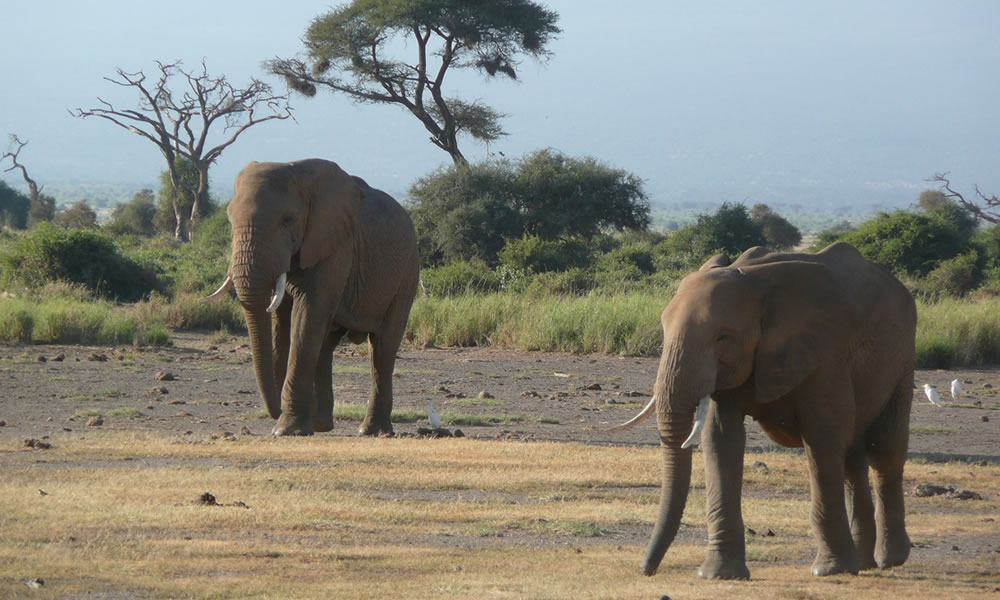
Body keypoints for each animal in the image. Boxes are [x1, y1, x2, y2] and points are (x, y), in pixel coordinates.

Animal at [205, 158, 420, 436]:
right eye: (230, 220)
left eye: (287, 220)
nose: (275, 411)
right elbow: (282, 319)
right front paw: (290, 425)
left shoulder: (336, 245)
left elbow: (306, 315)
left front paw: (285, 430)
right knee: (326, 342)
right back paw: (321, 425)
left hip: (407, 274)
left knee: (382, 348)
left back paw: (371, 431)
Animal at [608, 241, 916, 580]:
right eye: (663, 328)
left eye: (723, 337)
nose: (646, 570)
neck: (753, 281)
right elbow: (721, 439)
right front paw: (719, 575)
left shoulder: (826, 352)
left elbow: (822, 439)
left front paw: (828, 570)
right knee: (852, 455)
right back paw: (862, 564)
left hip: (902, 359)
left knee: (883, 449)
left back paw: (890, 559)